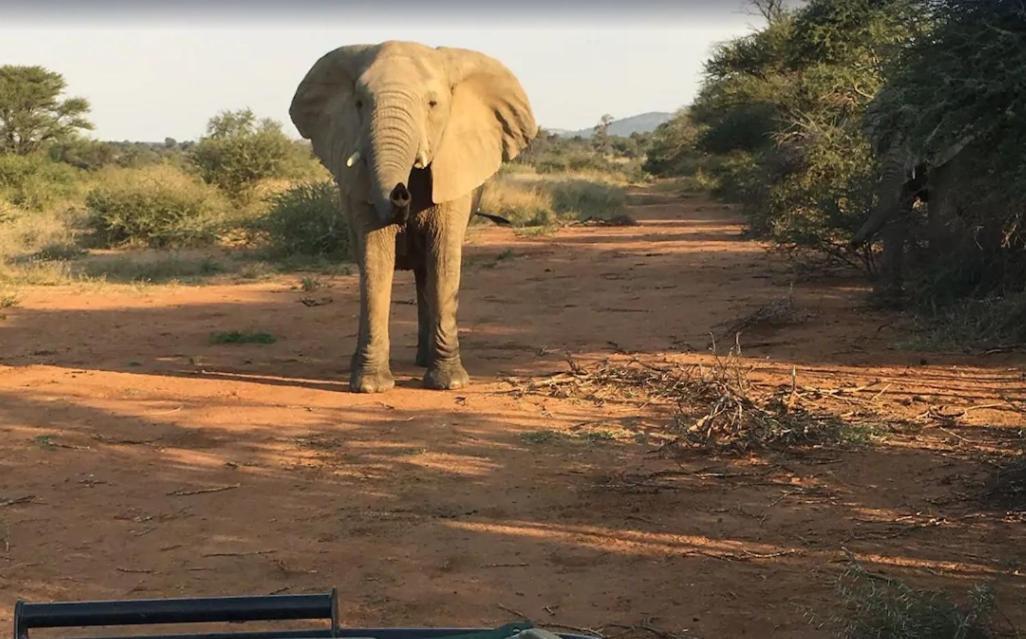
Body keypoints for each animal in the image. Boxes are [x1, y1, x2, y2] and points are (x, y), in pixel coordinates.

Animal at [289, 41, 537, 395]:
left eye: (432, 104)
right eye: (359, 103)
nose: (401, 193)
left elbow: (443, 256)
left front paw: (450, 384)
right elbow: (375, 256)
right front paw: (371, 387)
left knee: (427, 271)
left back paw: (424, 361)